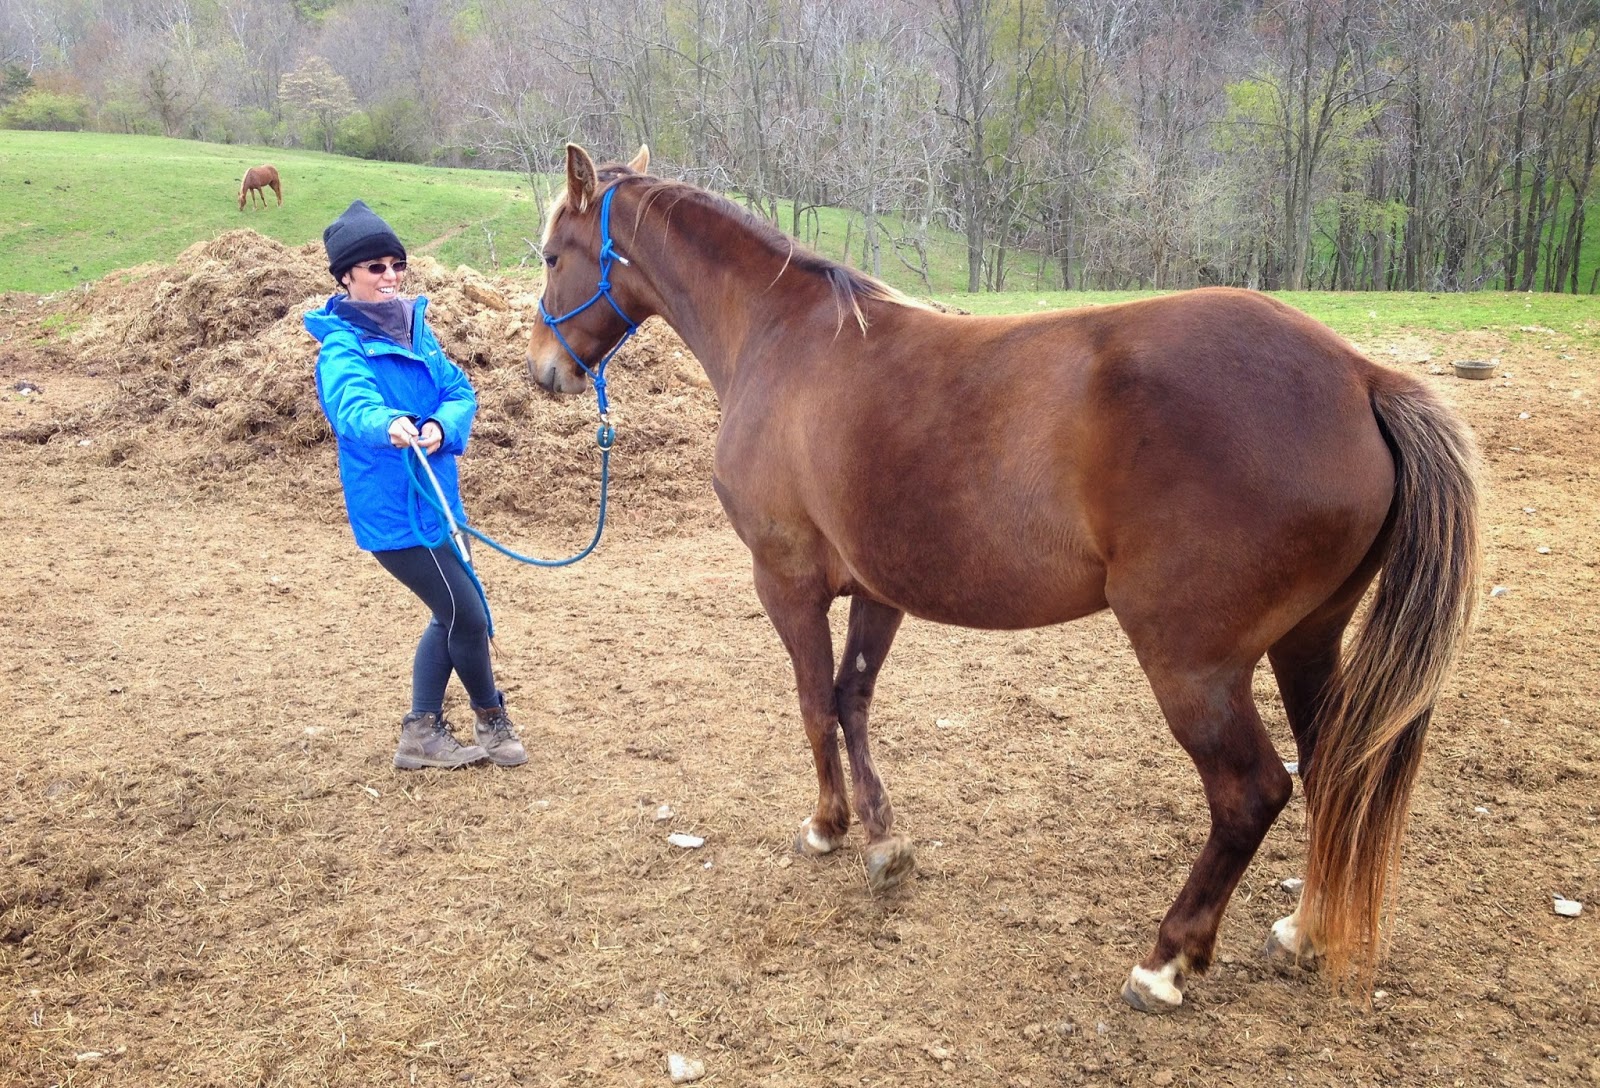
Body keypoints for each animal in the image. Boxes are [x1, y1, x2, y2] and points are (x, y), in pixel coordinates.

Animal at [528, 145, 1480, 1013]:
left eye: (549, 255)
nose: (545, 369)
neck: (782, 337)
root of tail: (1360, 376)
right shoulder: (880, 591)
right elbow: (850, 700)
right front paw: (883, 841)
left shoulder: (785, 579)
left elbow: (810, 704)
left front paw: (828, 827)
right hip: (1307, 641)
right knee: (1334, 771)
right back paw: (1305, 932)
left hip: (1194, 665)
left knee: (1252, 793)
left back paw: (1166, 962)